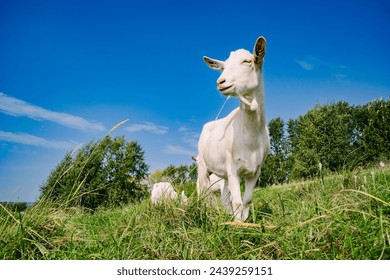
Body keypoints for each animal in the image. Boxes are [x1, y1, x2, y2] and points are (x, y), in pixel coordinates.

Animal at [197, 36, 270, 221]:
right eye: (224, 66)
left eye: (247, 61)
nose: (221, 82)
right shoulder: (233, 170)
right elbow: (237, 202)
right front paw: (239, 225)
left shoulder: (255, 172)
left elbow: (247, 201)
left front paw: (245, 222)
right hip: (203, 166)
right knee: (203, 192)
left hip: (223, 175)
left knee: (224, 197)